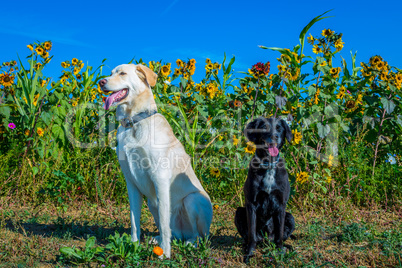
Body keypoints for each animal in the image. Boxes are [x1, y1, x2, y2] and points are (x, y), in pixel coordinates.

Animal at [99, 63, 214, 258]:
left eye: (122, 73)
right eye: (111, 73)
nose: (101, 82)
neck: (134, 123)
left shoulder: (160, 178)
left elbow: (164, 223)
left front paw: (165, 254)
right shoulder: (131, 183)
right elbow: (134, 220)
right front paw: (134, 245)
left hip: (192, 200)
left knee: (198, 236)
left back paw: (189, 243)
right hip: (151, 202)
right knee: (171, 232)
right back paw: (158, 239)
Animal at [236, 116, 296, 262]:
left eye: (279, 128)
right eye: (264, 127)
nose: (274, 136)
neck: (268, 165)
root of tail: (265, 240)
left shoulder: (281, 205)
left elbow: (279, 234)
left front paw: (280, 251)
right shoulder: (251, 204)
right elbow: (252, 234)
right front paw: (249, 253)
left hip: (290, 217)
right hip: (238, 212)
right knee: (251, 238)